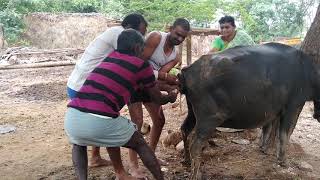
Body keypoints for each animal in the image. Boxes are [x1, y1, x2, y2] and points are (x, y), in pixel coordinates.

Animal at [178, 43, 320, 179]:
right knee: (195, 145)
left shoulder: (273, 111)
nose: (316, 116)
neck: (308, 71)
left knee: (184, 130)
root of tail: (187, 71)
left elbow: (267, 129)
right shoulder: (293, 107)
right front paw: (283, 161)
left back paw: (187, 161)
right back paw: (196, 174)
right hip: (210, 119)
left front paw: (264, 148)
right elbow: (284, 135)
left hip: (192, 113)